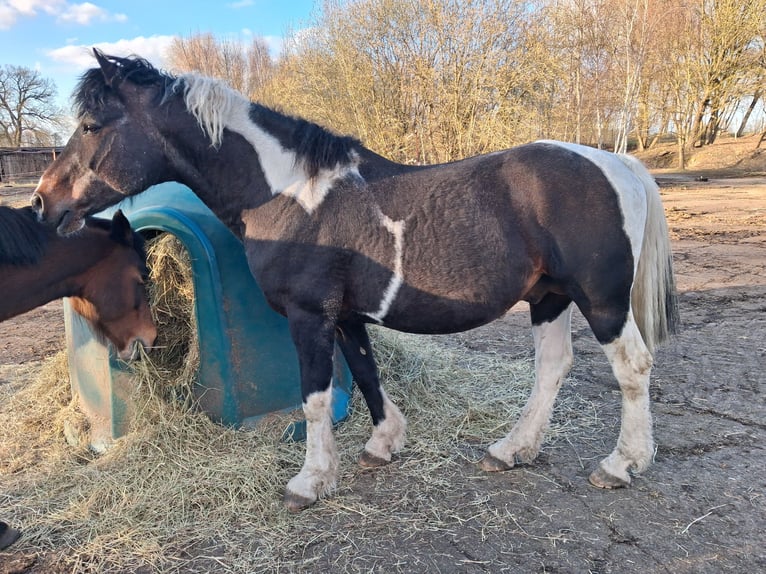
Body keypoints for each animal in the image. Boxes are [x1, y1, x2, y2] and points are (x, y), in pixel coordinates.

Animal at [31, 50, 678, 511]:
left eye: (91, 124)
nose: (42, 203)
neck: (291, 194)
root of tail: (617, 161)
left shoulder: (308, 316)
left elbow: (316, 399)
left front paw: (311, 481)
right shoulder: (344, 317)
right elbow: (366, 374)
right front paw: (382, 445)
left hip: (600, 300)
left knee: (633, 367)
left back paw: (621, 464)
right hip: (548, 296)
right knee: (552, 367)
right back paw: (511, 450)